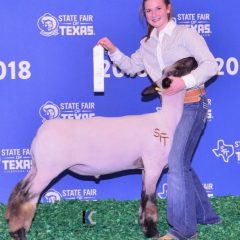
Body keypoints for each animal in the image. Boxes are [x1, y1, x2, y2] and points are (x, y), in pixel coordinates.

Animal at [4, 56, 198, 240]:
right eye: (176, 70)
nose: (193, 59)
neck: (166, 120)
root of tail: (42, 131)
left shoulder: (145, 168)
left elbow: (142, 198)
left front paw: (144, 227)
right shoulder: (153, 166)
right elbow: (149, 200)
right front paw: (152, 232)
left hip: (37, 167)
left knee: (18, 191)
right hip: (48, 169)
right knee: (26, 196)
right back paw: (19, 232)